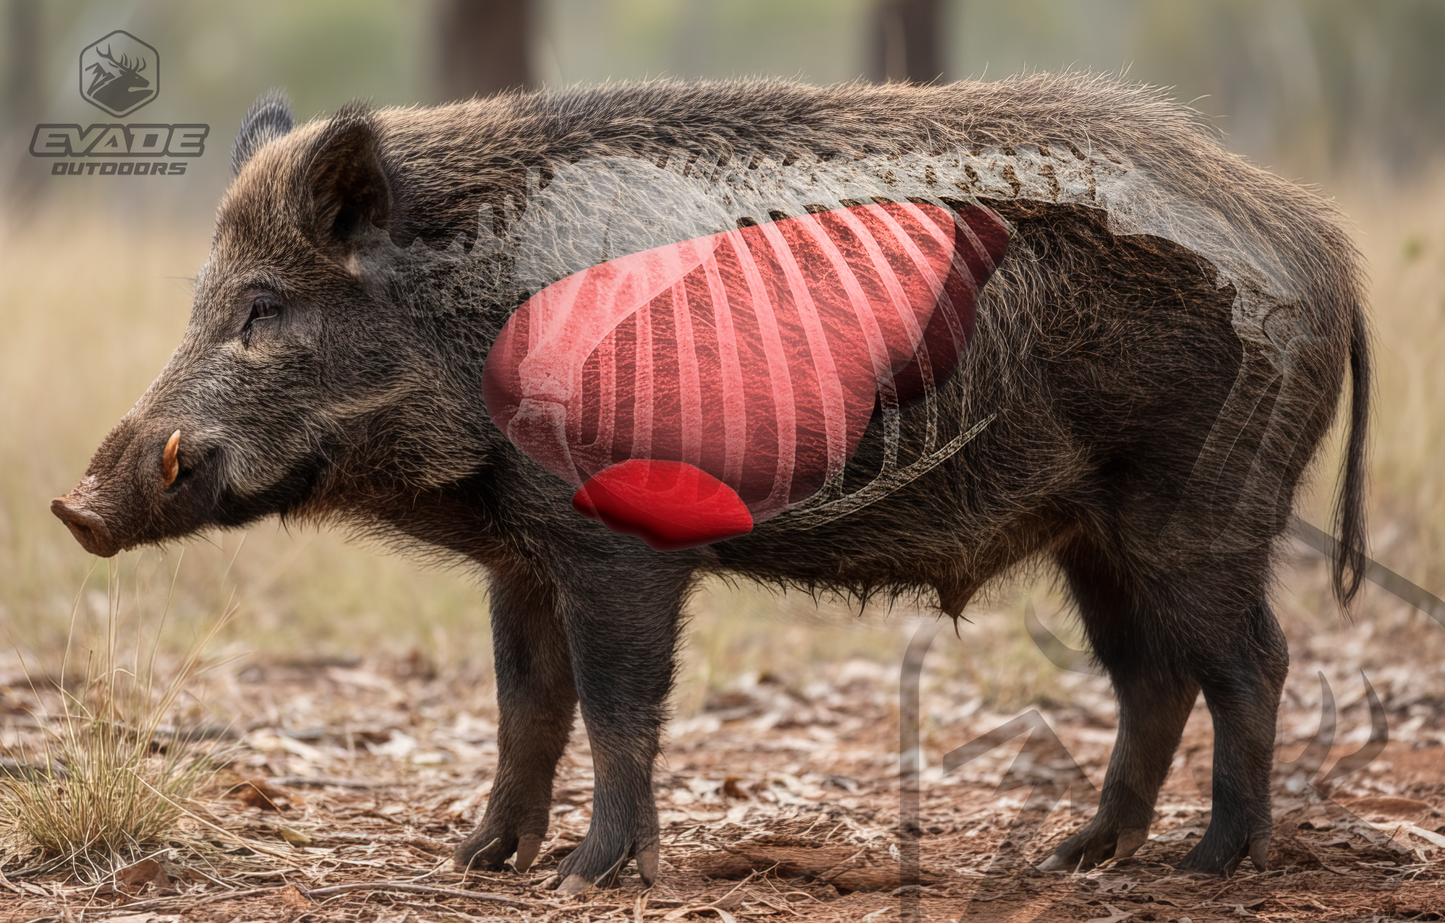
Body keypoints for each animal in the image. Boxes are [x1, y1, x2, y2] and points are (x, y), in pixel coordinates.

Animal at [53, 73, 1369, 890]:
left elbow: (615, 704)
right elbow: (526, 706)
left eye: (264, 308)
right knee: (1153, 676)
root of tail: (1318, 247)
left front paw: (588, 876)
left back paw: (1214, 863)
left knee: (1249, 661)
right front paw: (477, 862)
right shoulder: (520, 557)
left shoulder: (615, 544)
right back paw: (1077, 856)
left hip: (1199, 503)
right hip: (1088, 531)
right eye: (206, 299)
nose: (75, 505)